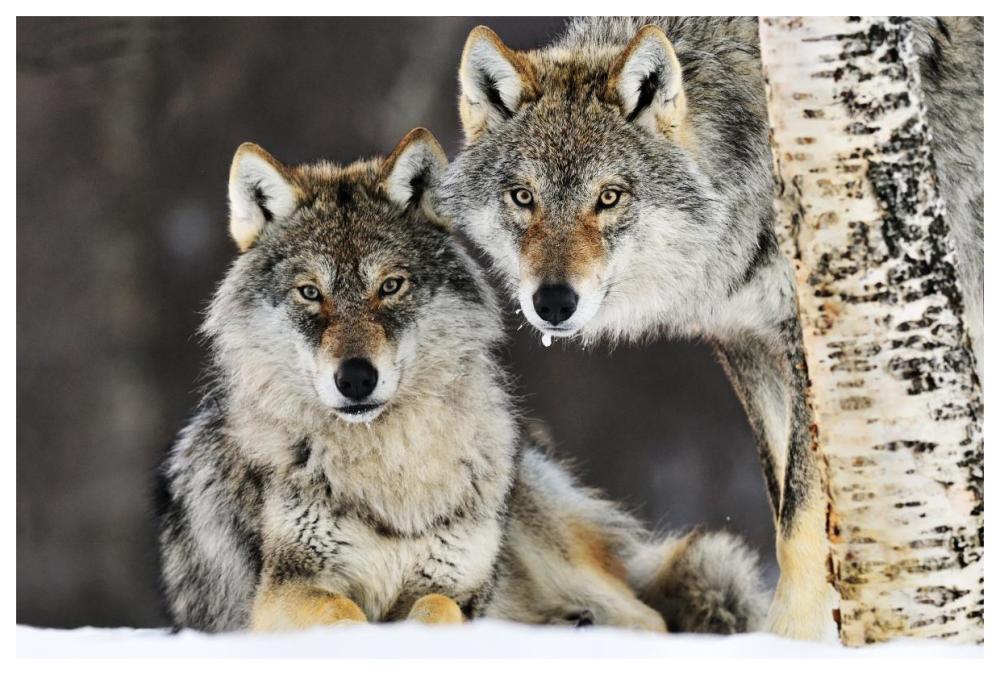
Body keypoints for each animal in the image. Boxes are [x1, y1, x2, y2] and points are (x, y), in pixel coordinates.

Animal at [157, 128, 767, 633]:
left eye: (391, 286)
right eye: (310, 293)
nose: (355, 378)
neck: (391, 468)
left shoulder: (454, 585)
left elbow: (436, 610)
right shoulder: (284, 592)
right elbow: (342, 614)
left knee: (651, 619)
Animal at [440, 17, 983, 640]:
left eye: (609, 197)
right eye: (523, 197)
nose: (553, 302)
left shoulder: (809, 342)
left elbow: (800, 522)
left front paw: (789, 640)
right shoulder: (748, 340)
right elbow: (782, 502)